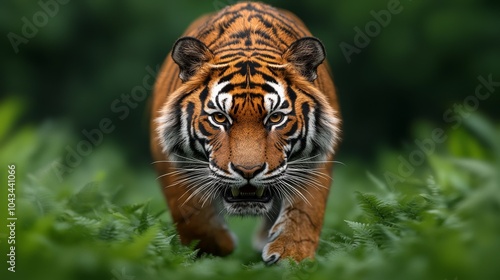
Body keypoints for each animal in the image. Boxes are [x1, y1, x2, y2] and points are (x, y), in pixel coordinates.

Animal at [150, 1, 342, 264]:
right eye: (220, 118)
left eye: (276, 118)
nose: (248, 171)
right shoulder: (170, 159)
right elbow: (192, 215)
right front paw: (218, 247)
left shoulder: (318, 156)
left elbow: (306, 210)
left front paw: (291, 255)